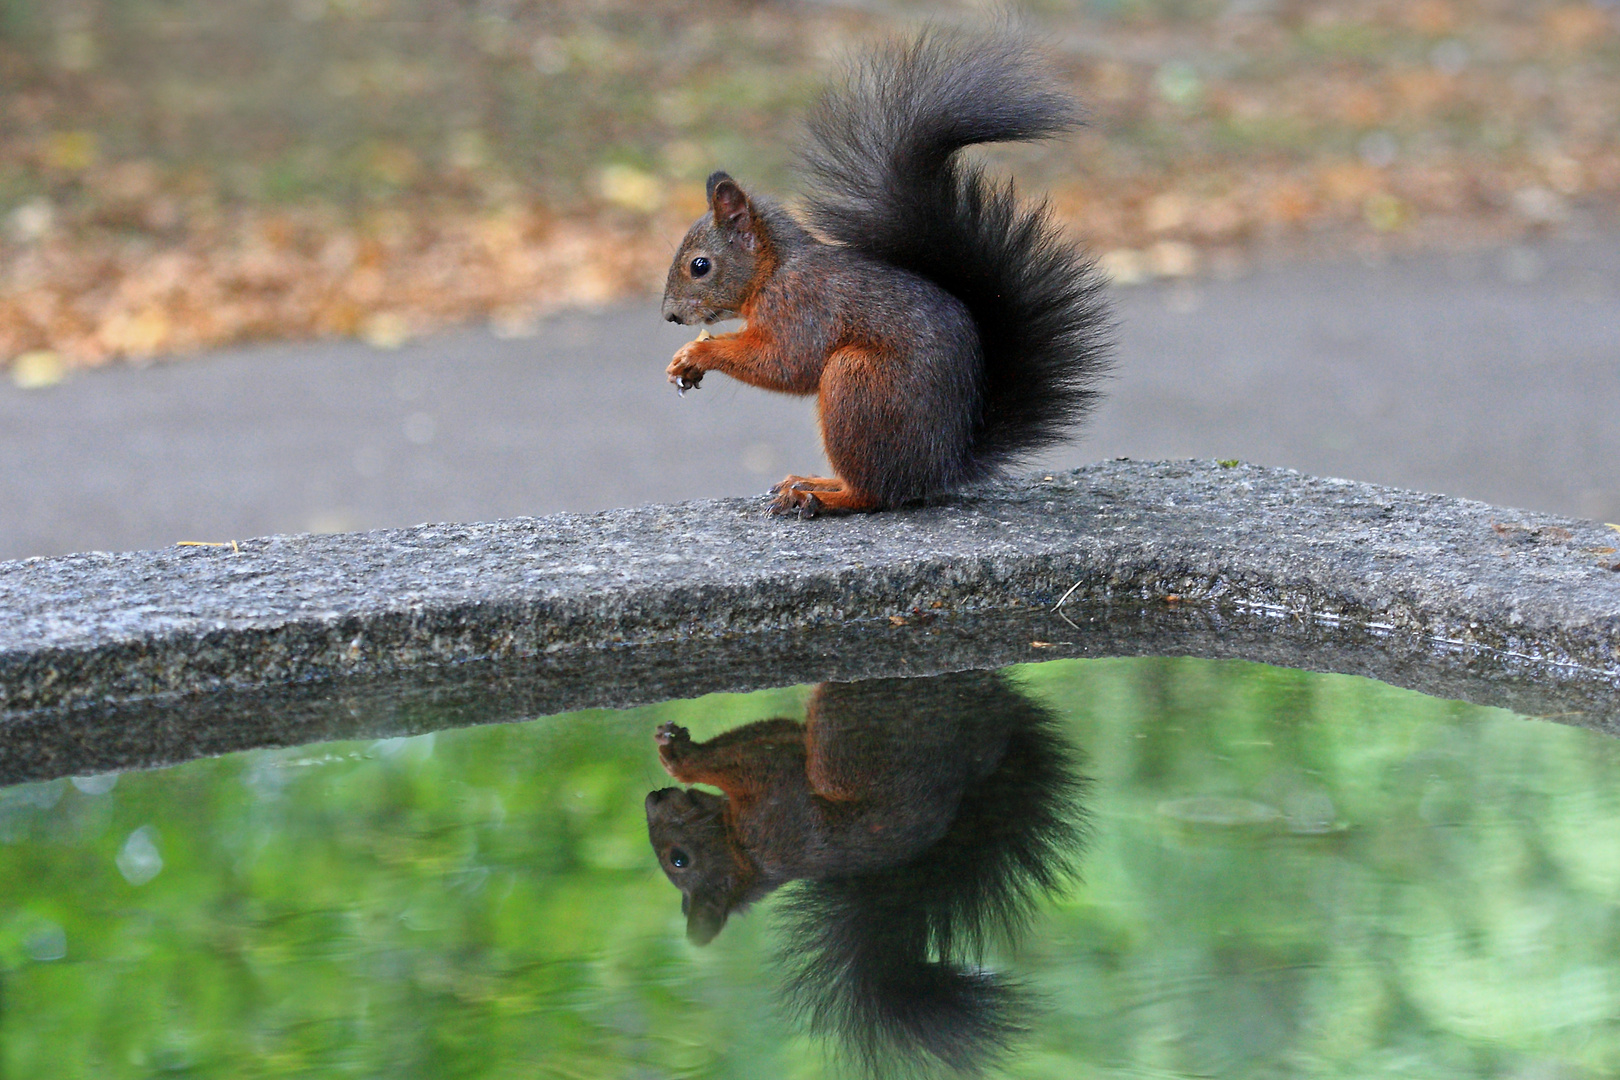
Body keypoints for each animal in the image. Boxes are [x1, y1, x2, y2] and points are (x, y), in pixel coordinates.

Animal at [644, 670, 1088, 1075]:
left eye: (678, 859)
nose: (653, 798)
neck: (741, 849)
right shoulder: (773, 795)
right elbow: (762, 747)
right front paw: (680, 757)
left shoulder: (771, 790)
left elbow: (766, 738)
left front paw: (677, 754)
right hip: (852, 747)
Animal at [660, 30, 1114, 518]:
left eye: (700, 266)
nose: (669, 316)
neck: (776, 270)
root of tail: (941, 467)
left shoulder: (803, 306)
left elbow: (787, 363)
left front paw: (698, 353)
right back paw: (814, 481)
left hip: (858, 384)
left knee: (875, 492)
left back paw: (819, 497)